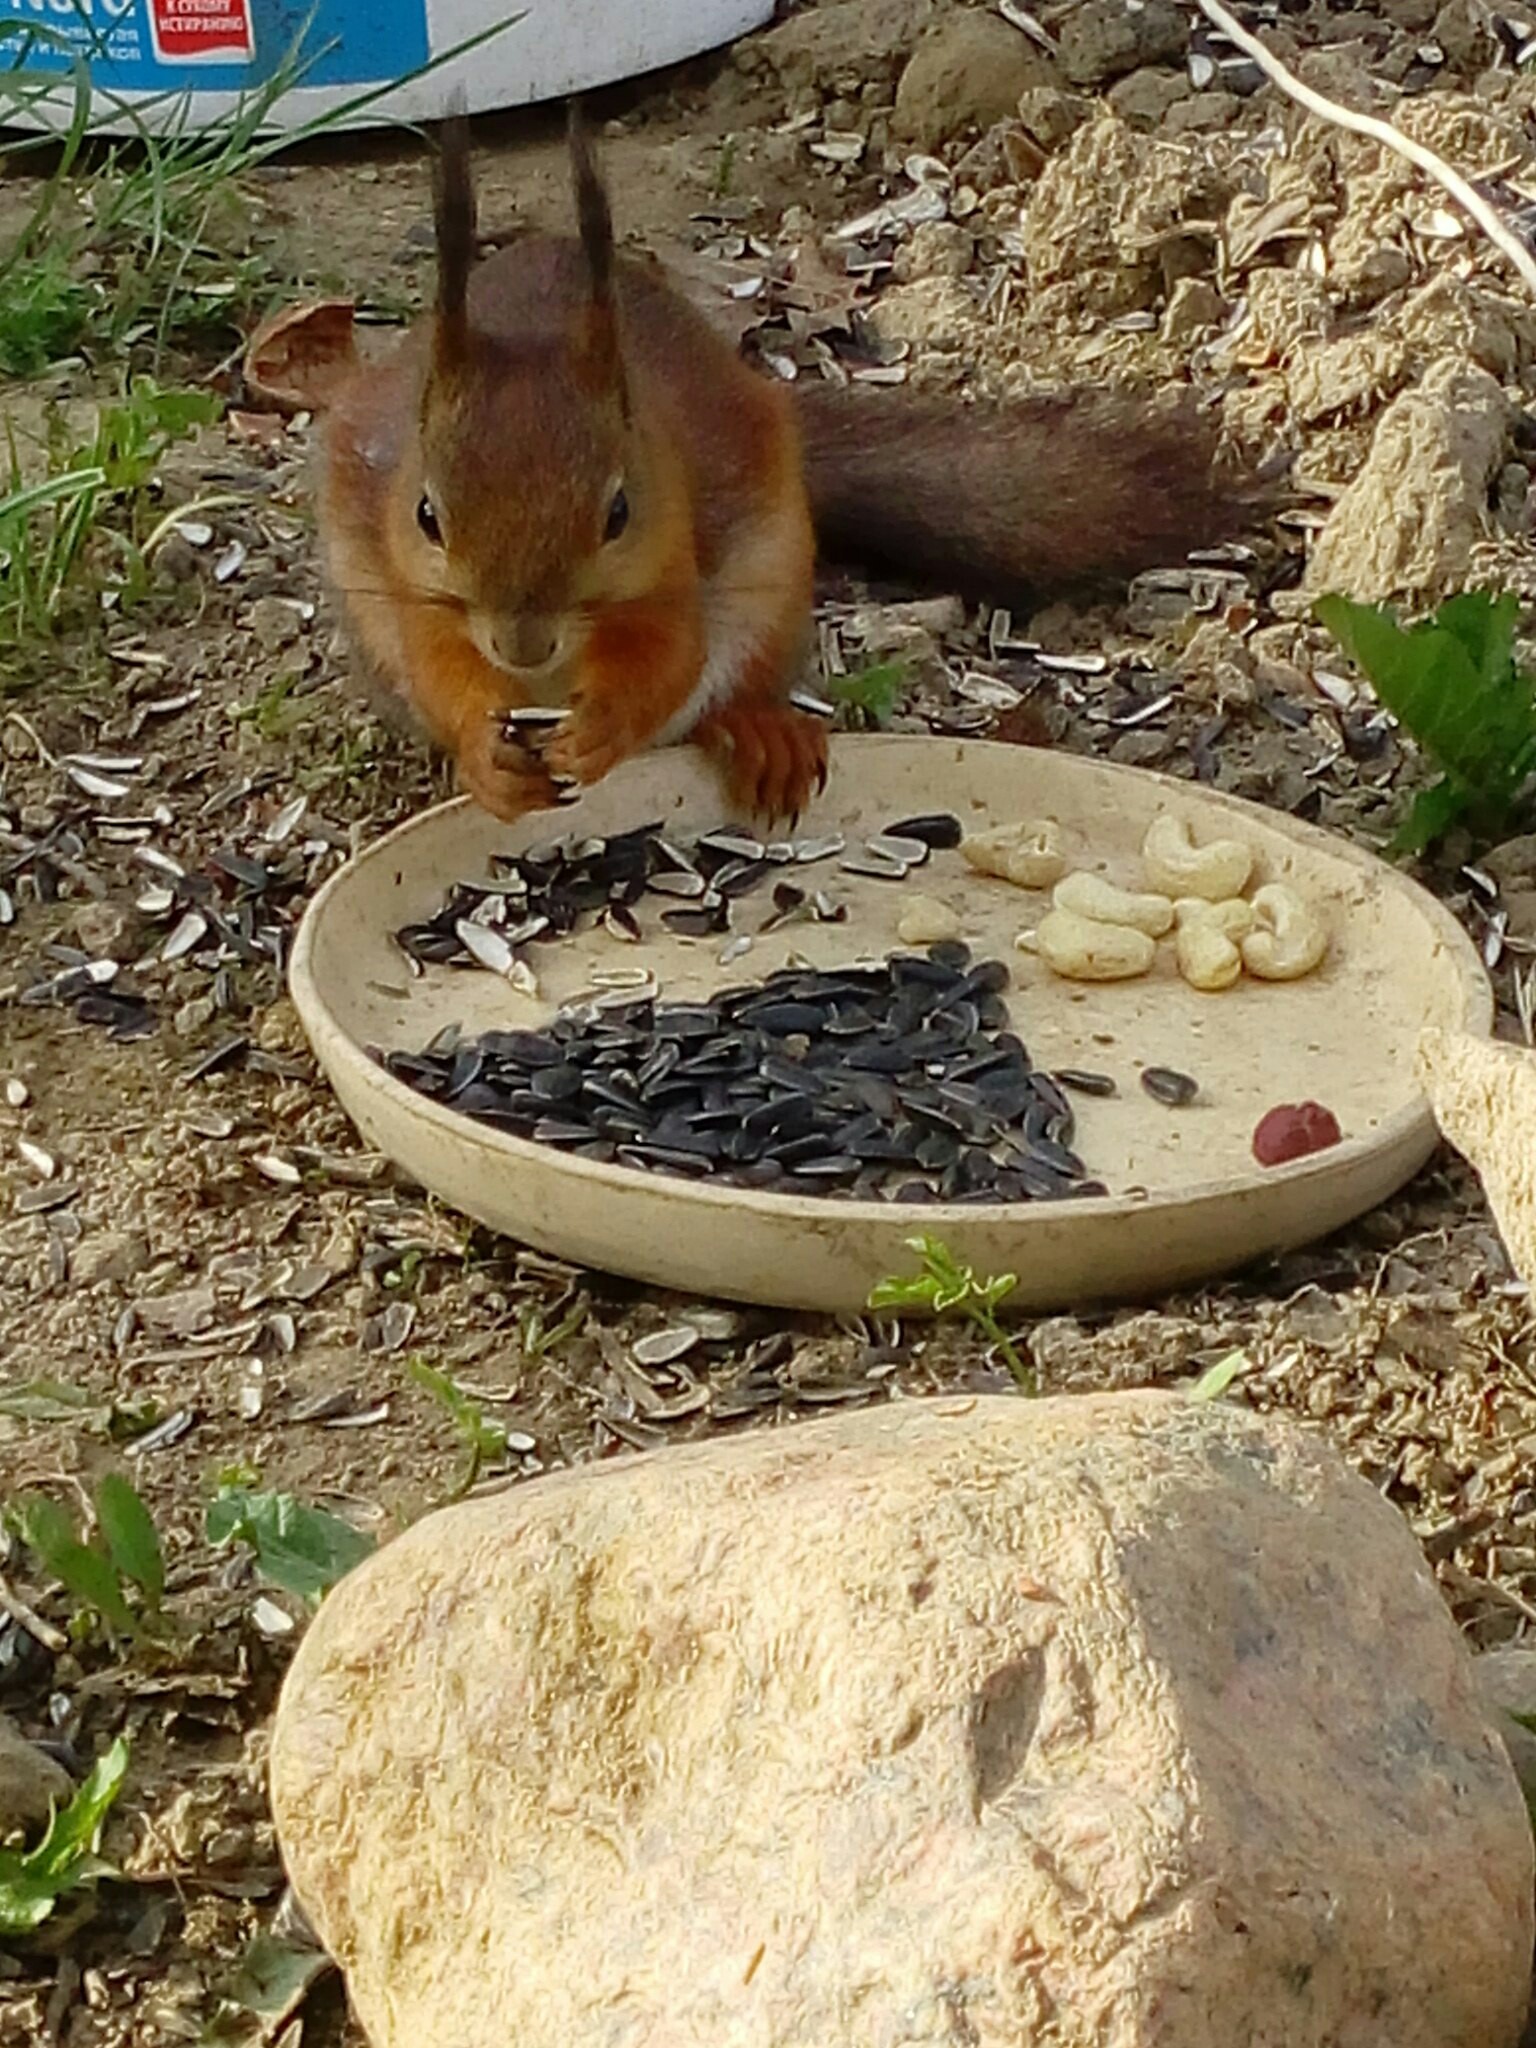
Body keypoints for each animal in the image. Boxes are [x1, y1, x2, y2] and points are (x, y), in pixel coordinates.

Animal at [319, 108, 1253, 827]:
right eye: (428, 515)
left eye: (618, 512)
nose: (523, 643)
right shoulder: (415, 596)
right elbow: (444, 674)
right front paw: (485, 757)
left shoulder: (674, 561)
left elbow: (670, 662)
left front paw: (601, 729)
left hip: (770, 575)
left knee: (726, 691)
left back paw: (762, 734)